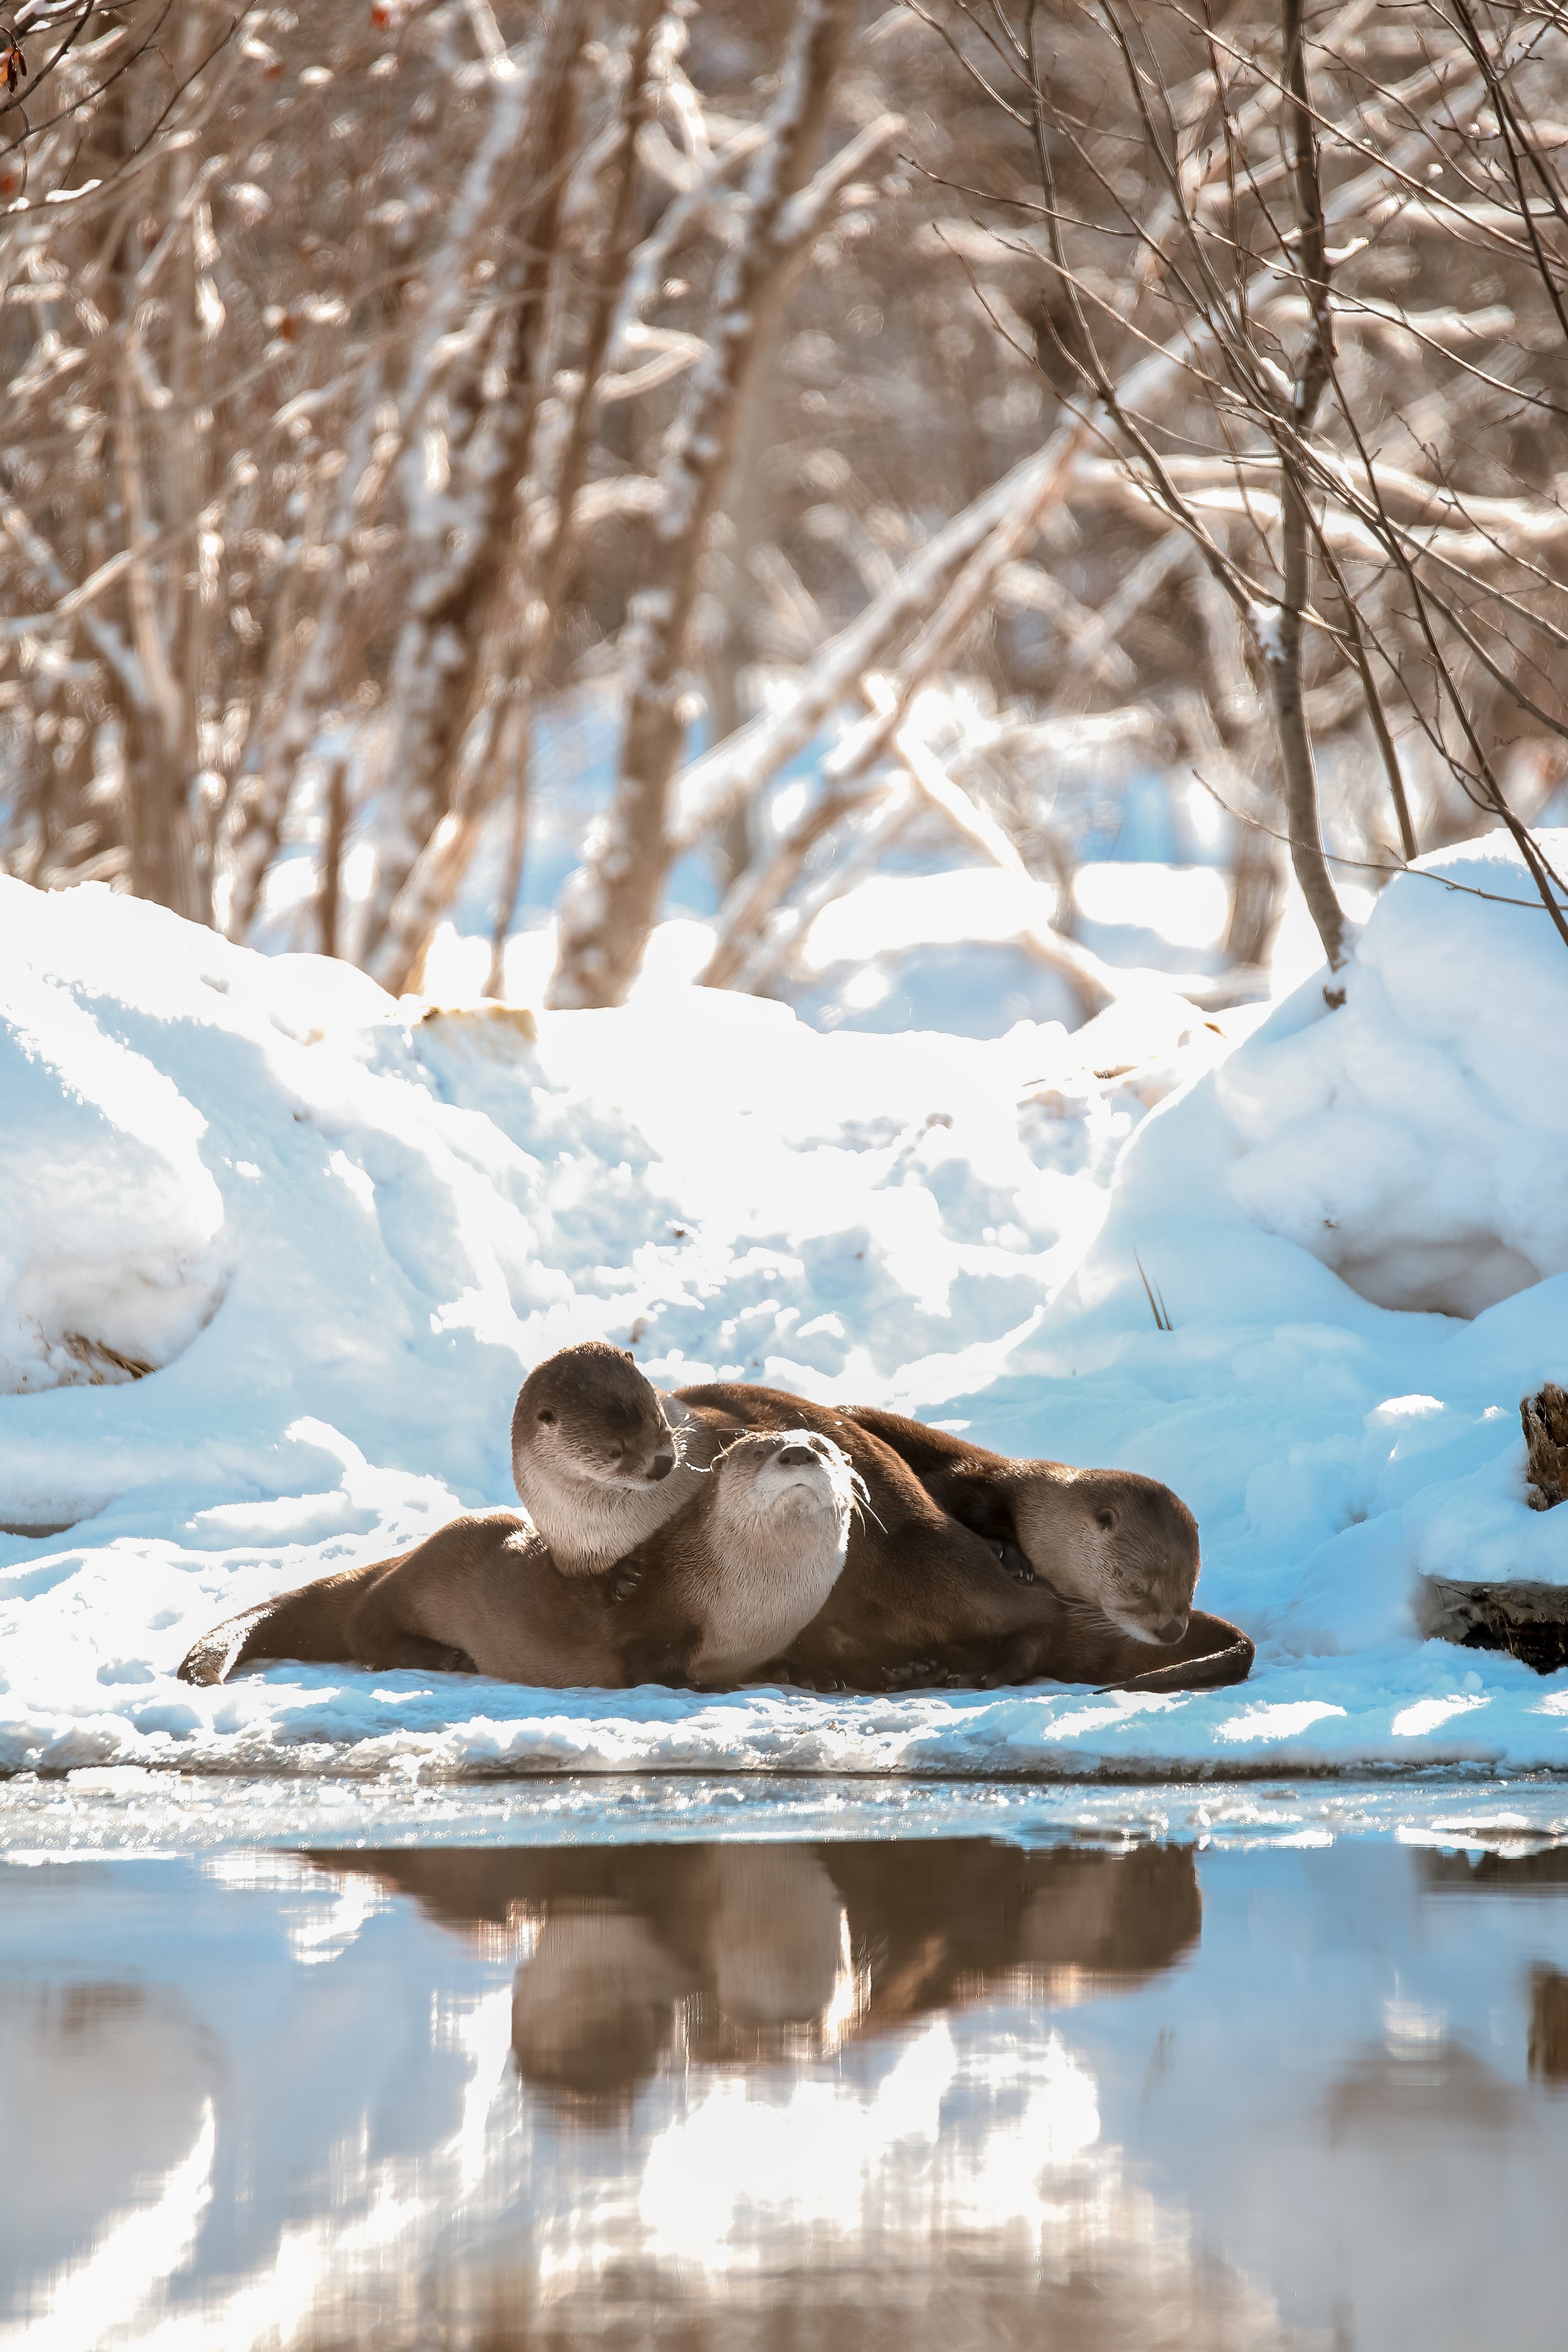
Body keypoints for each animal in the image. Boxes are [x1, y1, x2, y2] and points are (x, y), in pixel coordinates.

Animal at [177, 1426, 855, 1691]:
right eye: (759, 1450)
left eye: (824, 1447)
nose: (798, 1452)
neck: (756, 1608)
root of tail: (405, 1555)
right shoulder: (654, 1617)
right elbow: (647, 1662)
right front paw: (706, 1686)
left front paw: (812, 1675)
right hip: (430, 1571)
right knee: (363, 1624)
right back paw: (443, 1657)